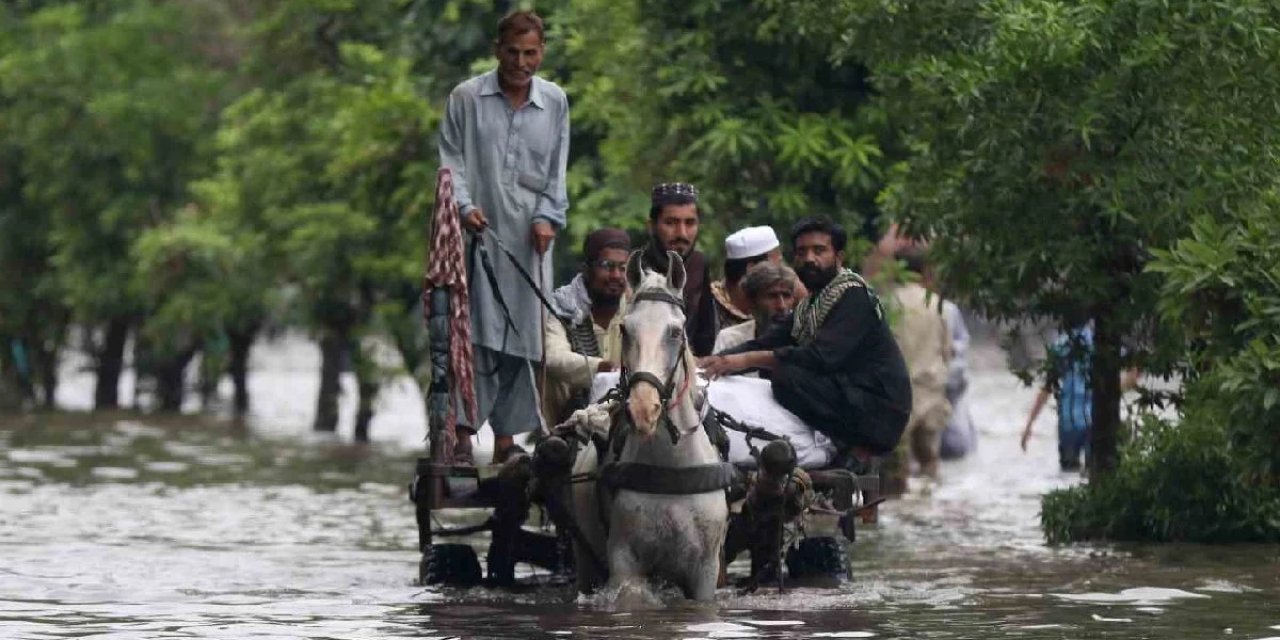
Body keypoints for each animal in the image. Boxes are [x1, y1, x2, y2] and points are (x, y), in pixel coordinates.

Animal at [563, 249, 732, 599]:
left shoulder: (705, 572)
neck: (672, 469)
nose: (644, 408)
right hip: (584, 555)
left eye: (676, 331)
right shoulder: (625, 565)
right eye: (625, 329)